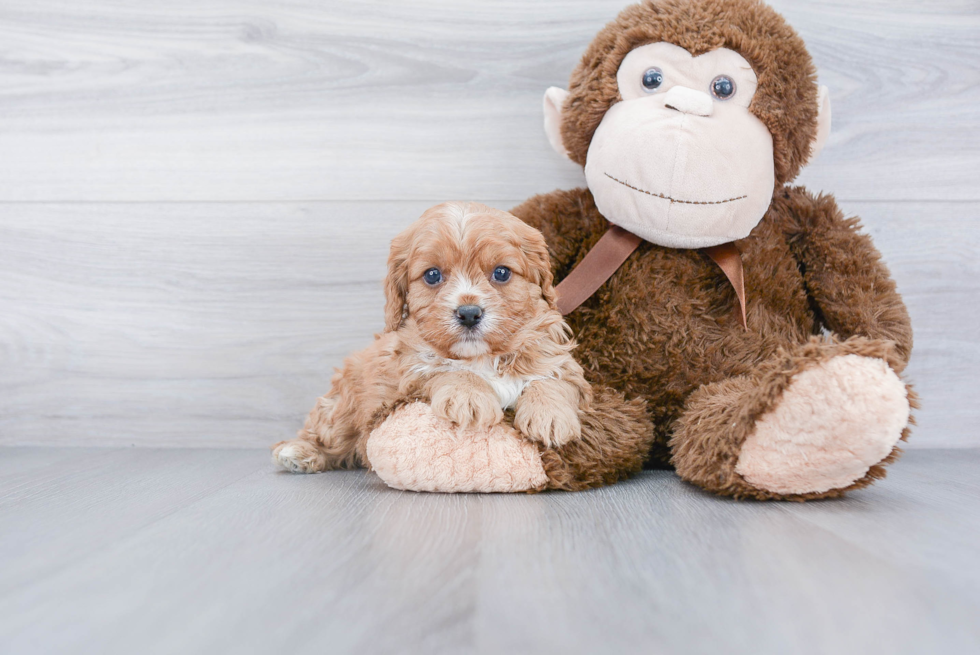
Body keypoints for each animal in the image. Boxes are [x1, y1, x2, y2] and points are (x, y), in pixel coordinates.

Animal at [272, 202, 588, 474]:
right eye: (432, 275)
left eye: (501, 273)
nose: (469, 313)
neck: (481, 357)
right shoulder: (409, 373)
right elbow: (443, 369)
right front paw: (468, 396)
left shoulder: (556, 355)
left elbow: (553, 378)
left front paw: (551, 416)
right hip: (342, 406)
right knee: (327, 434)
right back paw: (298, 451)